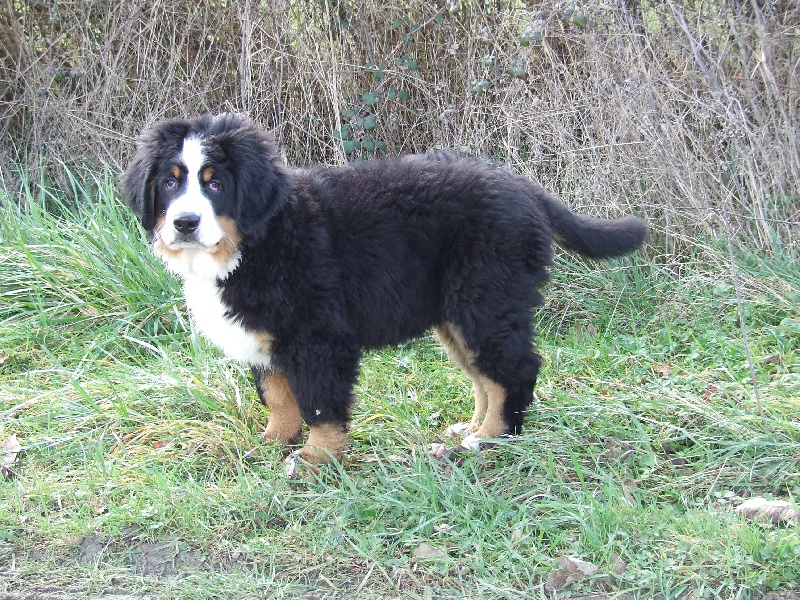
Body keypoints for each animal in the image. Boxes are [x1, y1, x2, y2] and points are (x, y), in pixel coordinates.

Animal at [123, 112, 648, 474]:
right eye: (170, 181)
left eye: (215, 185)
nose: (184, 223)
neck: (256, 242)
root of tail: (524, 187)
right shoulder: (265, 338)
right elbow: (278, 396)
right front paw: (273, 442)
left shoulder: (317, 337)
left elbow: (320, 403)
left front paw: (314, 459)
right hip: (456, 314)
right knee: (485, 376)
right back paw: (470, 429)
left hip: (484, 300)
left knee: (514, 369)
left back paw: (491, 440)